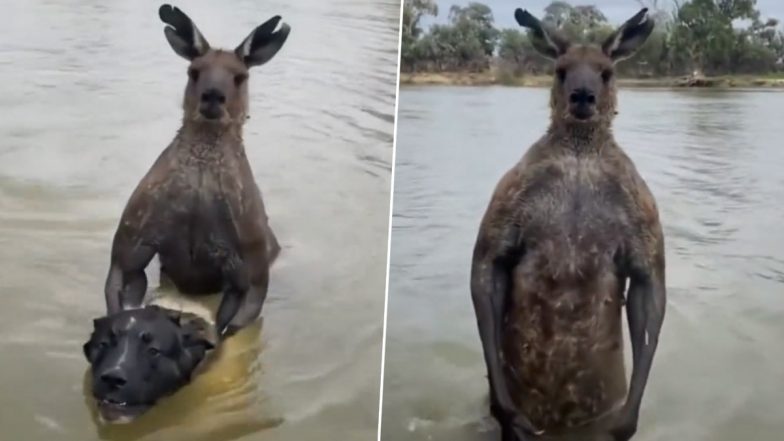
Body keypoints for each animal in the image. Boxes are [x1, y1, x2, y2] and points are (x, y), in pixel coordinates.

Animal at [102, 4, 290, 336]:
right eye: (194, 71)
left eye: (240, 77)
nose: (213, 96)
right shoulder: (130, 246)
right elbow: (121, 292)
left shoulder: (251, 269)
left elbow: (232, 324)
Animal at [472, 6, 668, 440]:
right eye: (561, 71)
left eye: (605, 72)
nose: (582, 96)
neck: (579, 157)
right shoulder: (505, 202)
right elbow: (488, 269)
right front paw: (508, 412)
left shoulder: (645, 215)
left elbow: (649, 290)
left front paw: (625, 424)